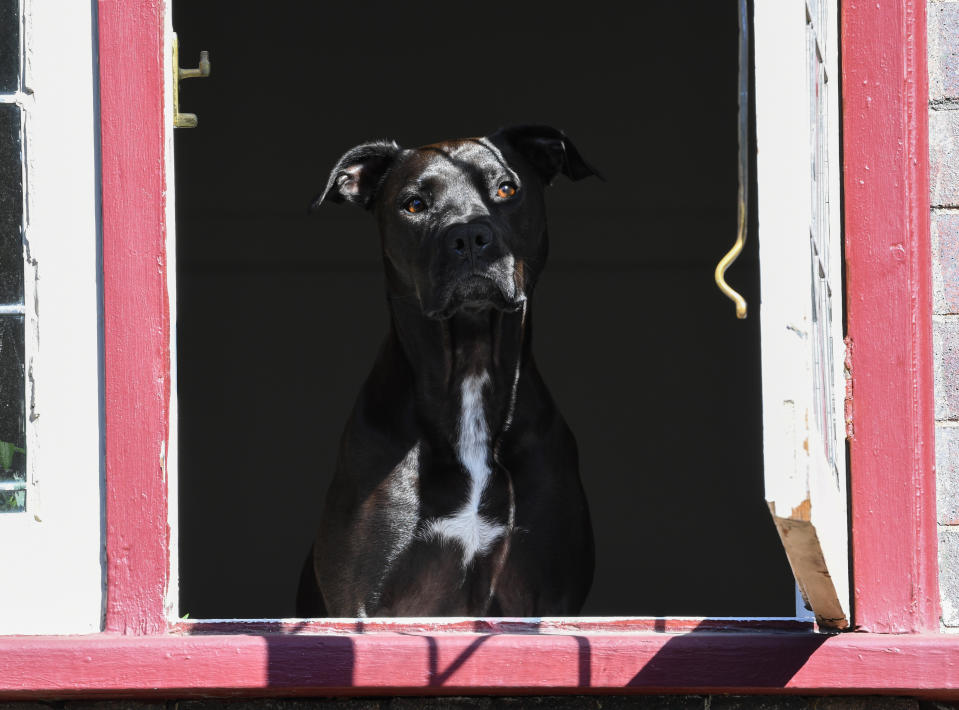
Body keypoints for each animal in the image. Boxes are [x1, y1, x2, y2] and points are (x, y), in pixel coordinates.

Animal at [300, 126, 600, 616]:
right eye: (414, 204)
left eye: (507, 188)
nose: (469, 236)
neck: (469, 367)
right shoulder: (361, 601)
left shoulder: (547, 595)